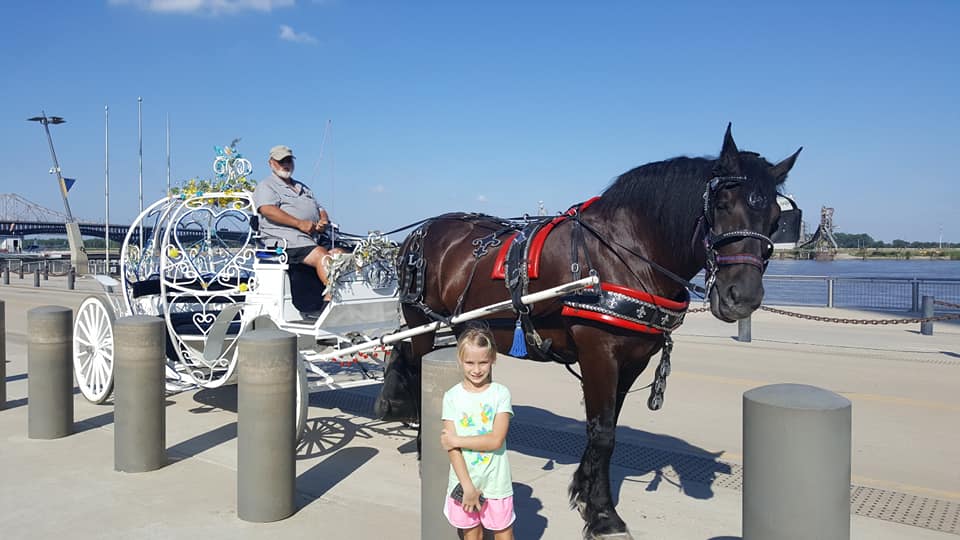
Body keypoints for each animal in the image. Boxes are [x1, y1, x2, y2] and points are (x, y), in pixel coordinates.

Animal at [375, 124, 801, 538]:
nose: (742, 298)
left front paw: (584, 492)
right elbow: (602, 433)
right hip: (420, 322)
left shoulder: (632, 360)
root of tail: (421, 231)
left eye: (776, 221)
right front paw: (603, 514)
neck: (626, 252)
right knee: (417, 371)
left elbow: (606, 428)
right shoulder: (598, 353)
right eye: (722, 205)